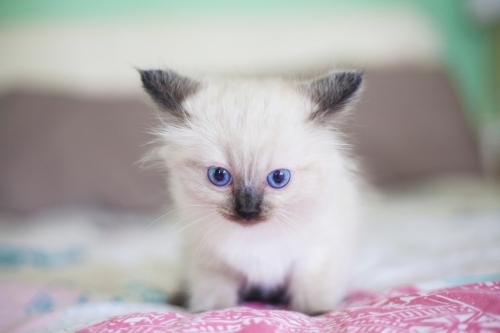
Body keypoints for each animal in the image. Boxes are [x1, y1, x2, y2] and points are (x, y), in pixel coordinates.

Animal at [139, 68, 362, 314]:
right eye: (219, 176)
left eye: (278, 178)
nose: (247, 211)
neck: (256, 240)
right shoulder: (209, 261)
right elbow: (214, 301)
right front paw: (208, 314)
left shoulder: (316, 256)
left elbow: (312, 294)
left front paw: (317, 314)